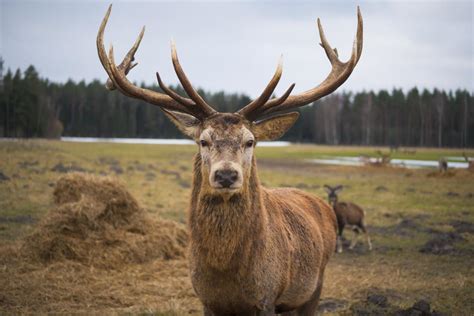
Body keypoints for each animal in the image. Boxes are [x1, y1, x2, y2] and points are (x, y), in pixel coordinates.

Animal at [96, 4, 362, 314]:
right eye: (203, 140)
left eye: (250, 141)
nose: (226, 175)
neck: (227, 275)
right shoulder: (206, 300)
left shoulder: (267, 297)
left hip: (315, 285)